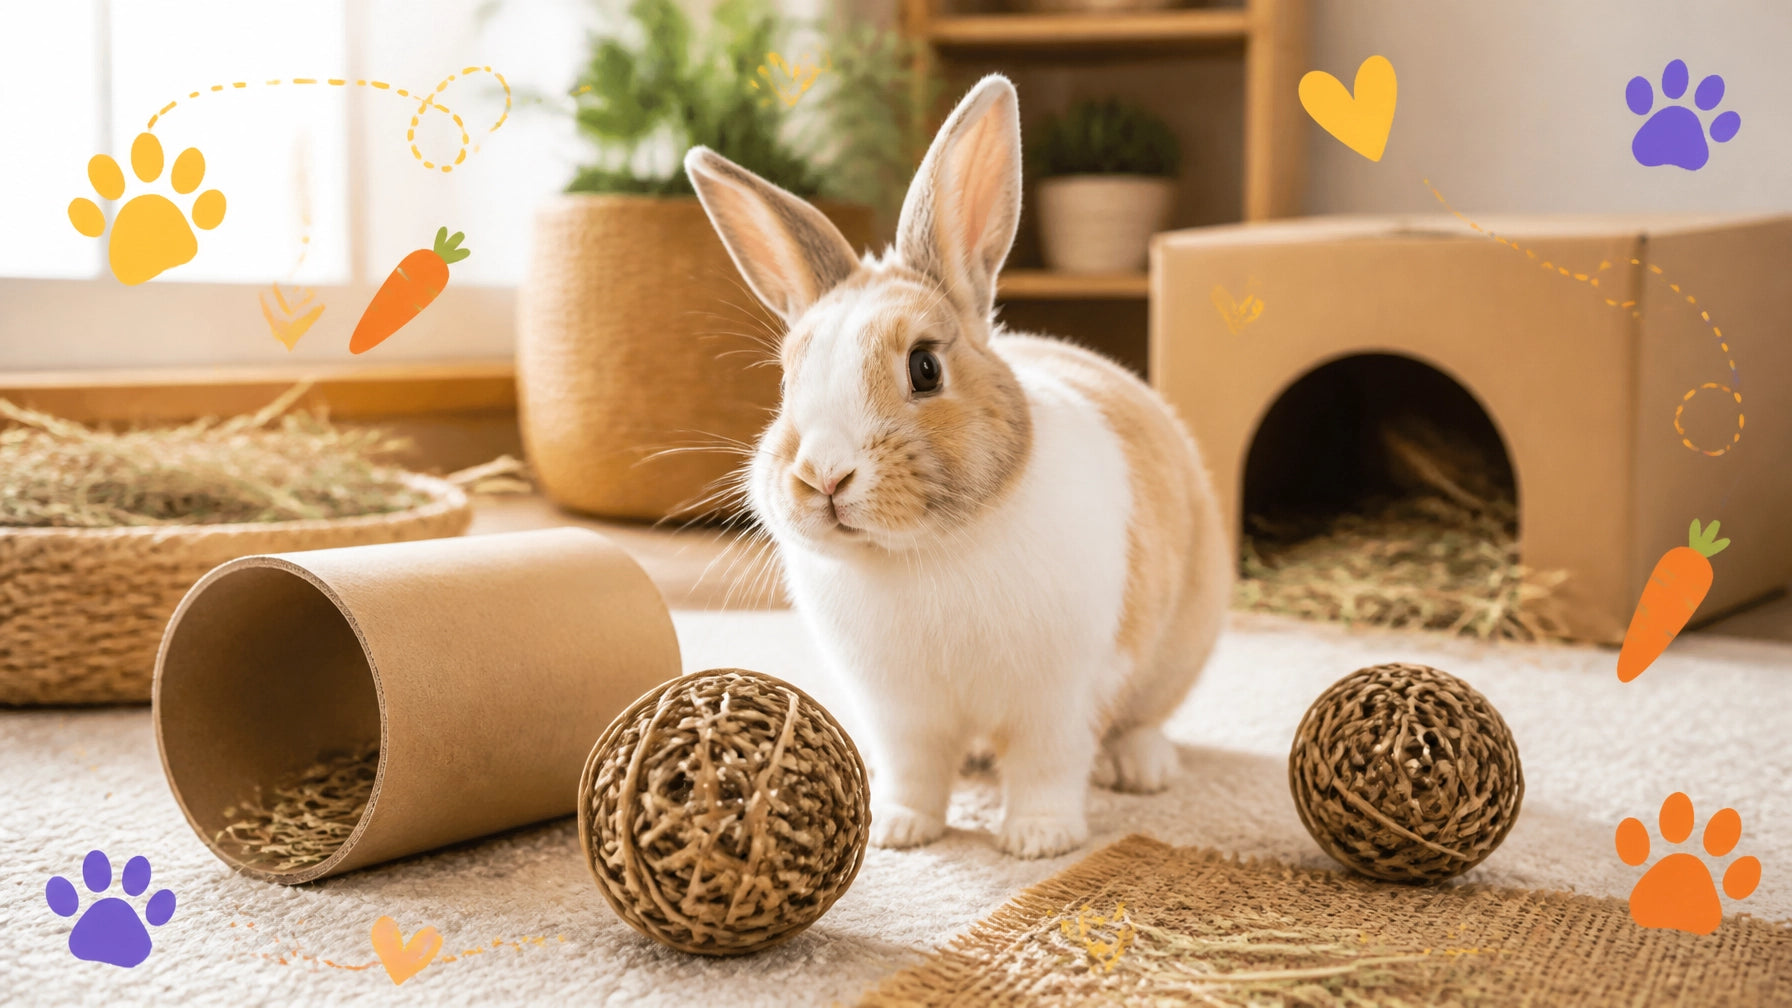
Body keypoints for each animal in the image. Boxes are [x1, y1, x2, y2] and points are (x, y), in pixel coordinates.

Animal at [682, 74, 1232, 859]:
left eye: (925, 367)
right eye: (788, 381)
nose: (824, 476)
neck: (922, 553)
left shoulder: (1058, 701)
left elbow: (1046, 768)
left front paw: (1037, 840)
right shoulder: (899, 712)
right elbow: (915, 770)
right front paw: (899, 831)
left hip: (1179, 651)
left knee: (1142, 719)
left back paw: (1141, 767)